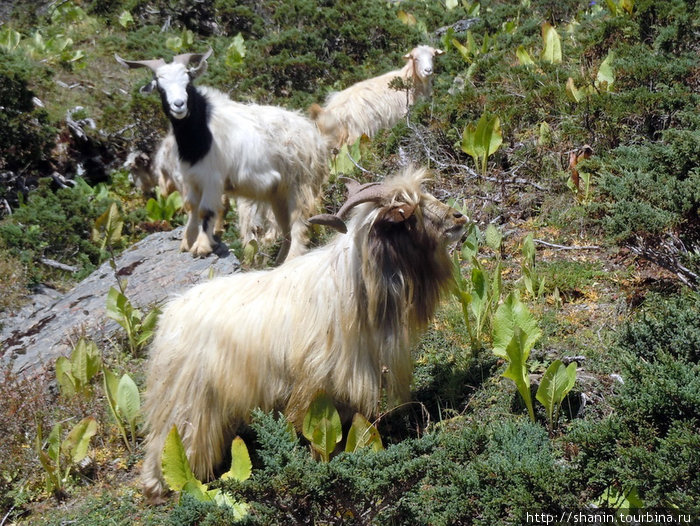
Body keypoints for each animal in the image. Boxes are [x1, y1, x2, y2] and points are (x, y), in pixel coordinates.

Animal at [117, 49, 328, 262]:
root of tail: (314, 138)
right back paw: (278, 262)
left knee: (299, 224)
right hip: (277, 194)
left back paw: (291, 259)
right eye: (160, 87)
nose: (179, 105)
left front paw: (202, 247)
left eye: (188, 82)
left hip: (299, 185)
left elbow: (206, 210)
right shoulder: (191, 178)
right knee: (285, 229)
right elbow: (191, 207)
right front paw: (187, 242)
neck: (201, 133)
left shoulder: (212, 178)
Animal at [141, 166, 470, 504]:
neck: (354, 285)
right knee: (167, 447)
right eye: (409, 213)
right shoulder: (317, 385)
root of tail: (167, 319)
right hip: (186, 405)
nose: (459, 217)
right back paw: (164, 490)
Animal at [310, 45, 442, 150]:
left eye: (433, 56)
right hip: (355, 135)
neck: (407, 80)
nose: (428, 70)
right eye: (415, 58)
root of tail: (324, 113)